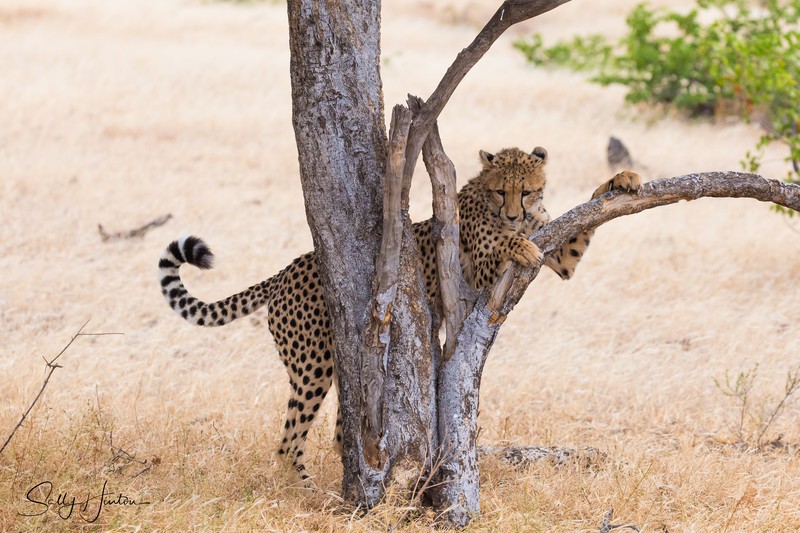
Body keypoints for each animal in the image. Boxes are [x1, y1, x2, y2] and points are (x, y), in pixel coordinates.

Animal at [157, 146, 642, 480]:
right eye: (499, 191)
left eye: (525, 191)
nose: (511, 213)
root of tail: (282, 273)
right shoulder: (475, 270)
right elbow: (503, 250)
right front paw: (517, 243)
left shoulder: (561, 256)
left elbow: (581, 223)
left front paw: (621, 178)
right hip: (313, 365)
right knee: (290, 439)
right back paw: (306, 490)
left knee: (342, 432)